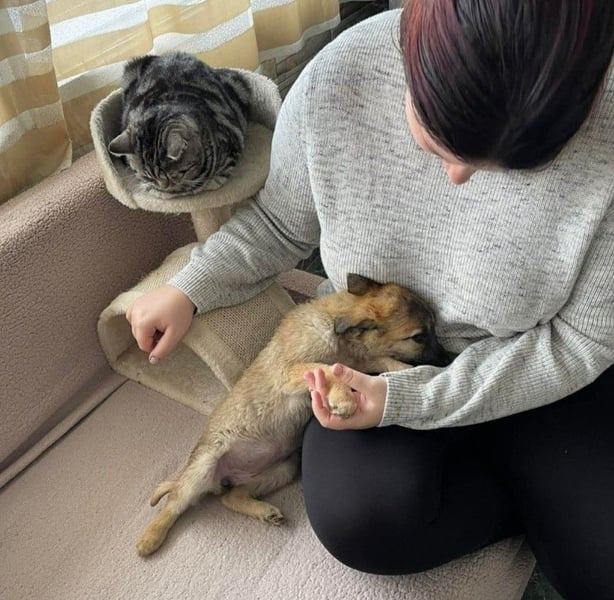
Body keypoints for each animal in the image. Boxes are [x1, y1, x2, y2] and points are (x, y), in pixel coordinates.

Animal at [108, 52, 252, 196]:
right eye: (148, 177)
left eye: (181, 172)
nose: (165, 185)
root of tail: (165, 55)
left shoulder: (233, 141)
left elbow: (223, 171)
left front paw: (212, 181)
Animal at [136, 274, 449, 556]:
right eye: (419, 336)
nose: (447, 361)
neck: (335, 329)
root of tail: (222, 479)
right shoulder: (290, 371)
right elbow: (327, 368)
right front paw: (343, 398)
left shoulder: (360, 361)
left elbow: (381, 360)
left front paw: (408, 374)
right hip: (204, 466)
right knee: (175, 502)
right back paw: (150, 538)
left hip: (282, 468)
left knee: (231, 498)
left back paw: (263, 511)